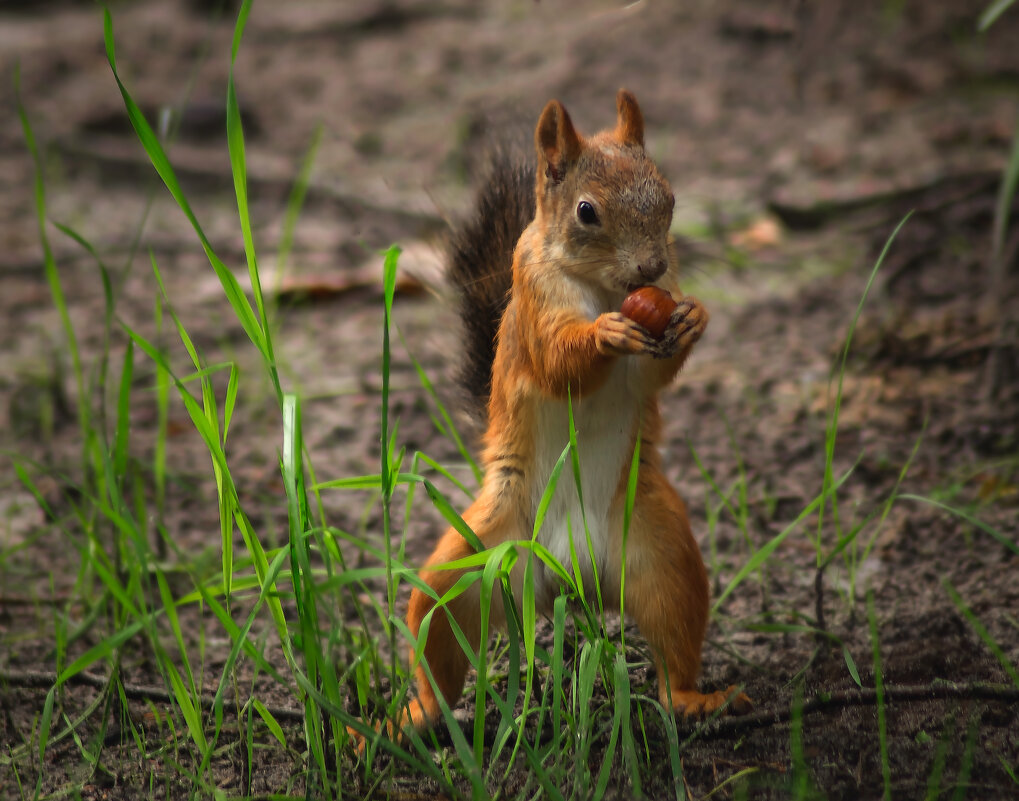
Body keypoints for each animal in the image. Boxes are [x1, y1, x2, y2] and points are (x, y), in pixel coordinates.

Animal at [393, 85, 754, 737]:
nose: (651, 268)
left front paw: (693, 318)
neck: (605, 286)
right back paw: (411, 718)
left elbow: (653, 373)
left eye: (669, 197)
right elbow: (561, 364)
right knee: (437, 644)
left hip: (664, 555)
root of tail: (568, 578)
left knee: (672, 653)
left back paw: (696, 700)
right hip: (467, 566)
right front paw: (603, 335)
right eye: (587, 212)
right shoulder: (536, 304)